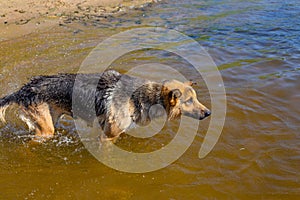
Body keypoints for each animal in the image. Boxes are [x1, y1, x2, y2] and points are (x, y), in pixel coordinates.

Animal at [0, 70, 211, 141]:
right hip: (46, 130)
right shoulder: (107, 137)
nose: (208, 112)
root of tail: (23, 89)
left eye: (195, 98)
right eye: (189, 101)